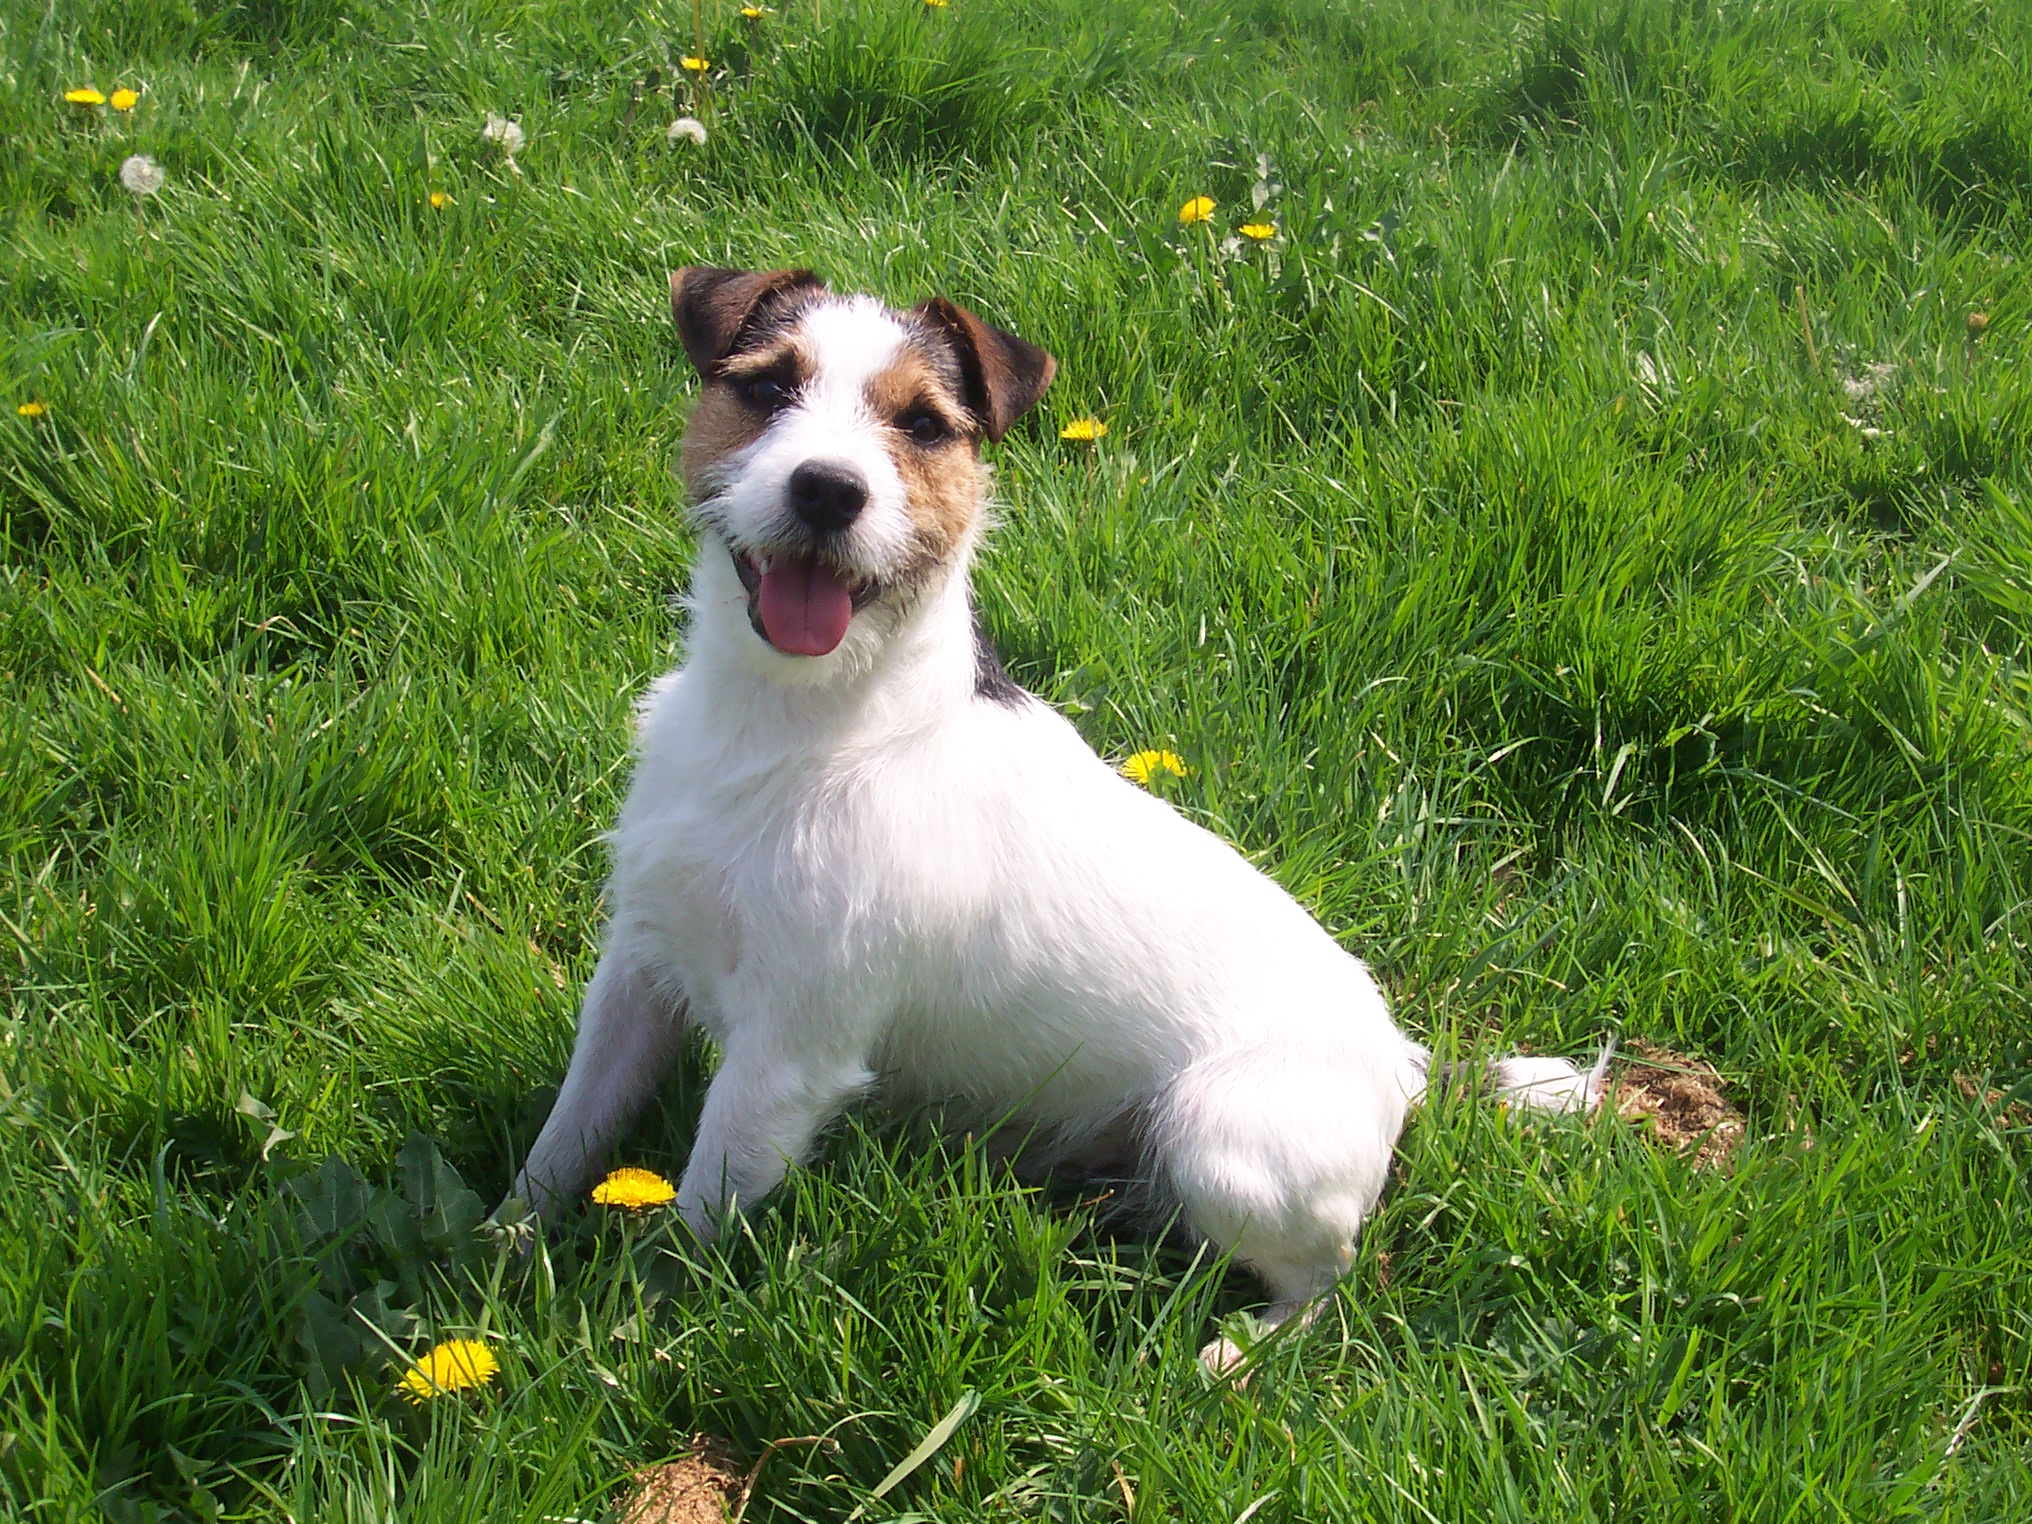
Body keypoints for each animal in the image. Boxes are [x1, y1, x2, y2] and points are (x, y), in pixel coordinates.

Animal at [512, 266, 1601, 1373]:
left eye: (923, 424)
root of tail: (1404, 1064)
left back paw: (1235, 1356)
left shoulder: (788, 1054)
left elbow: (693, 1221)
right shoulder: (636, 971)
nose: (827, 488)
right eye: (768, 387)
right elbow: (565, 1134)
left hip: (1222, 1139)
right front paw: (507, 1247)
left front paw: (636, 1336)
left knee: (1329, 1280)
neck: (790, 722)